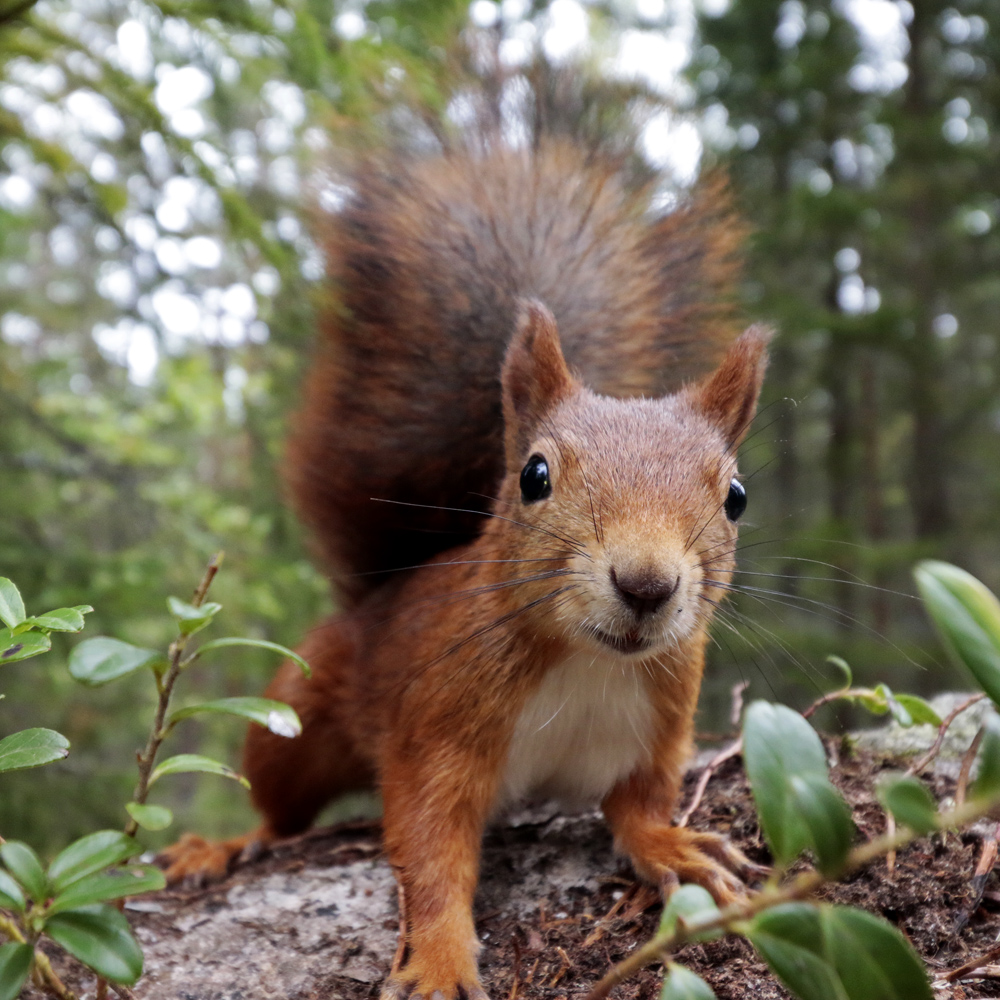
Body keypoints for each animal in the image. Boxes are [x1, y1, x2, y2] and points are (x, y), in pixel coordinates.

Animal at [162, 135, 772, 1000]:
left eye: (737, 497)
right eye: (535, 476)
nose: (646, 585)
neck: (583, 661)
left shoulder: (659, 730)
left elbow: (641, 806)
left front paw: (675, 848)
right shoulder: (438, 728)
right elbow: (430, 849)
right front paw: (443, 958)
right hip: (296, 713)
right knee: (280, 810)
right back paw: (221, 845)